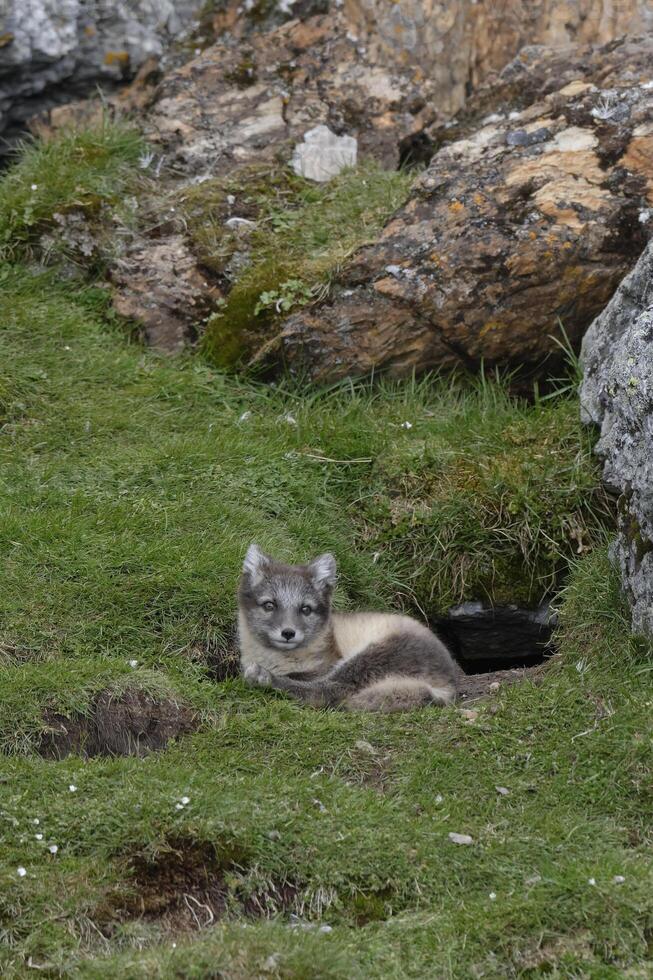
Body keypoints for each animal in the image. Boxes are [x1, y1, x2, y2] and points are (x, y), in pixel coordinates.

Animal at [237, 544, 456, 712]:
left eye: (306, 609)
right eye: (269, 605)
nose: (288, 633)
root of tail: (450, 682)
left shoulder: (326, 665)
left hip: (375, 654)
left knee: (329, 691)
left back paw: (264, 678)